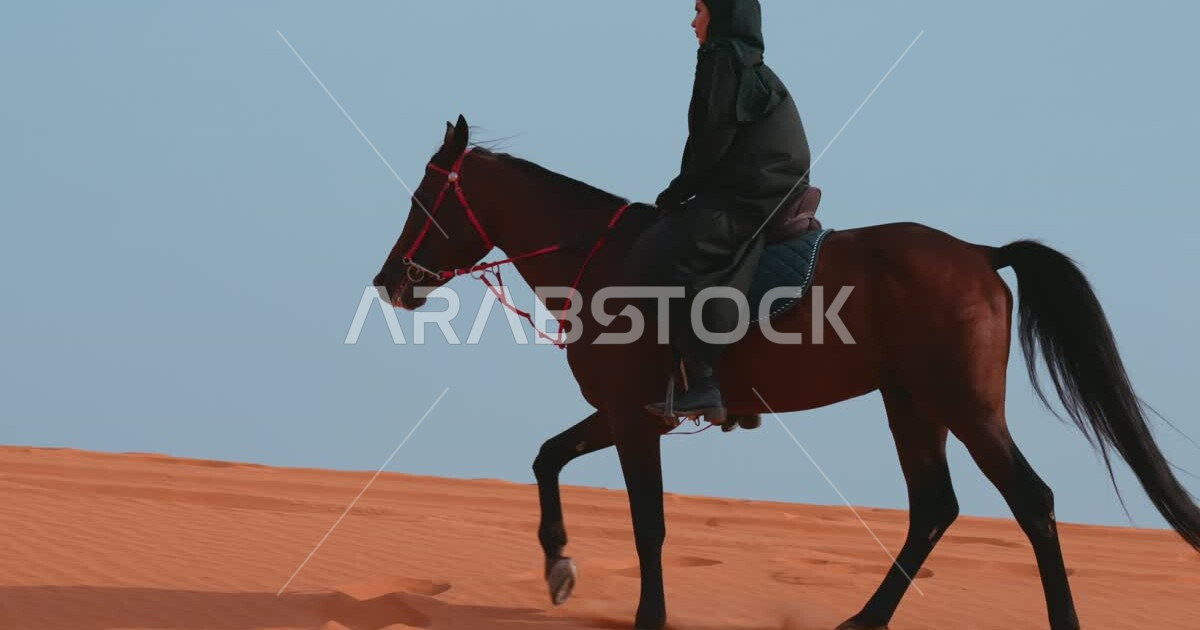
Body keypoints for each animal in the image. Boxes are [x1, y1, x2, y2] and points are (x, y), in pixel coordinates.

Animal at [372, 116, 1200, 630]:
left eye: (423, 199)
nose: (390, 282)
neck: (600, 258)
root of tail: (980, 255)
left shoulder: (635, 419)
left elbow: (648, 523)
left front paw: (645, 614)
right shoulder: (628, 412)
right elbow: (547, 458)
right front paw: (558, 568)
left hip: (964, 407)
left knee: (1031, 501)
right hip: (912, 406)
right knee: (934, 508)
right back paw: (863, 618)